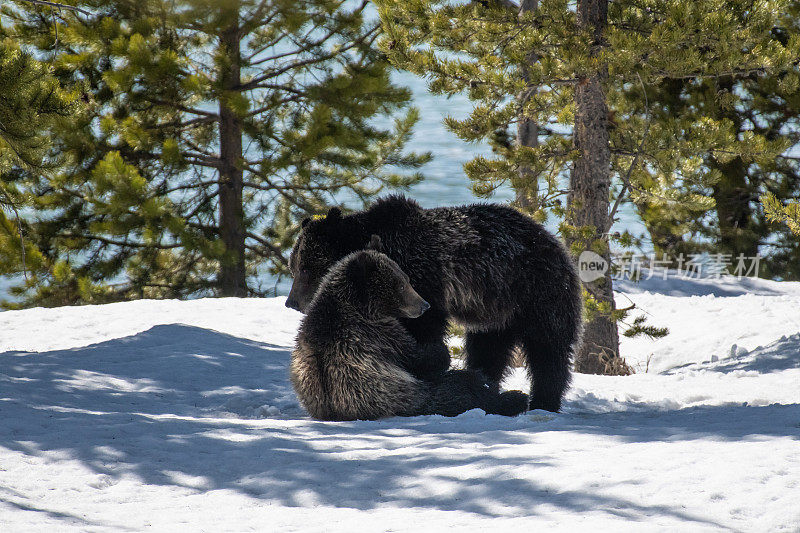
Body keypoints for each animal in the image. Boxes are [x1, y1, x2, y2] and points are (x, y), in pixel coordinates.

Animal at [290, 249, 528, 420]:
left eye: (407, 280)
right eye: (402, 285)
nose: (424, 305)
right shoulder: (378, 334)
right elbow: (419, 358)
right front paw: (440, 350)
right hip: (419, 396)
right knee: (465, 387)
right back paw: (512, 397)